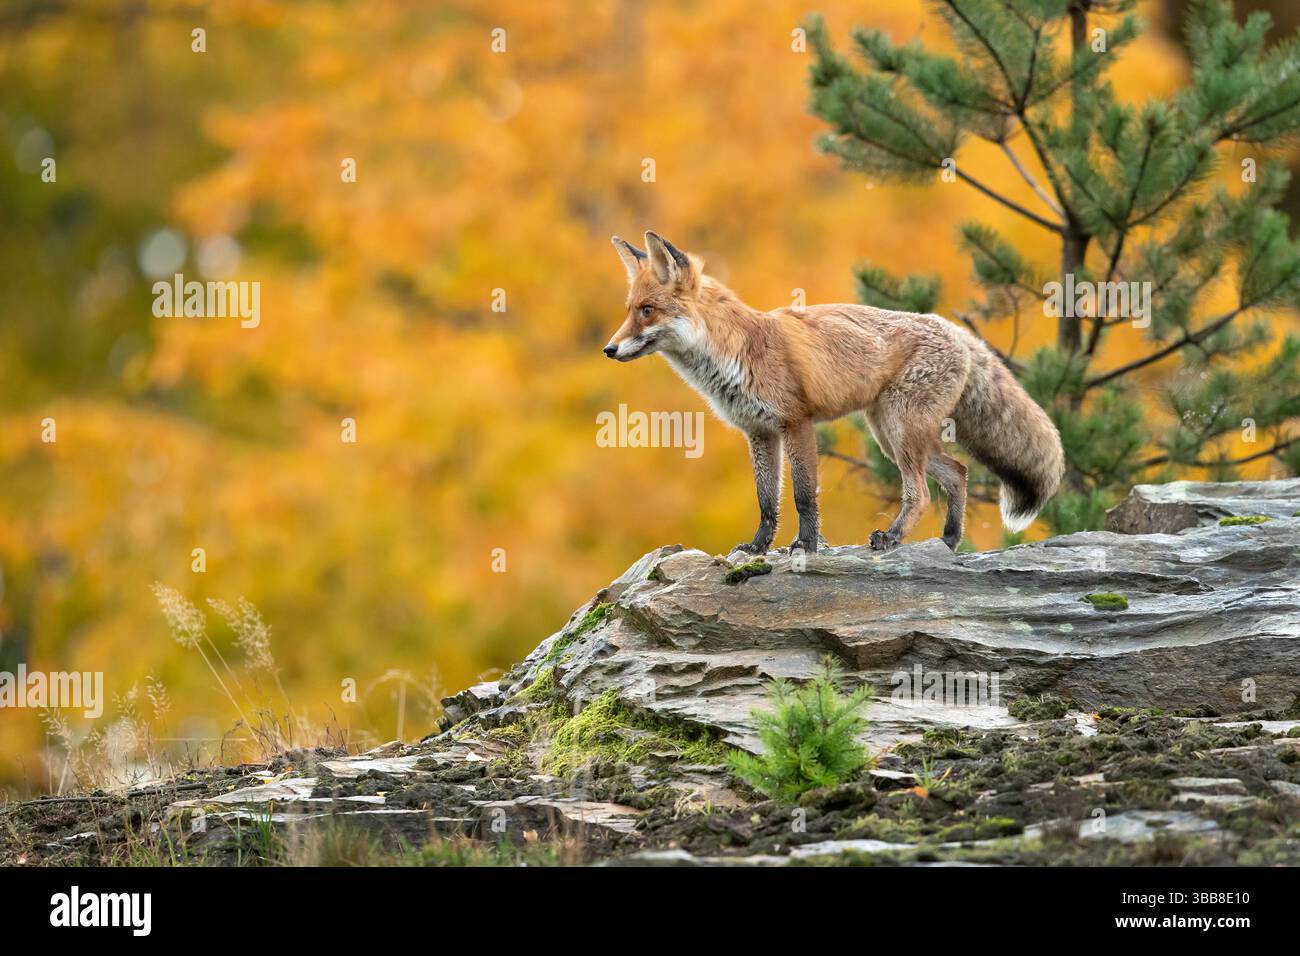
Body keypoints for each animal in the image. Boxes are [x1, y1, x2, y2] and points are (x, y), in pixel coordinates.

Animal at [603, 231, 1065, 555]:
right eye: (629, 310)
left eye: (647, 311)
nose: (608, 349)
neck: (737, 351)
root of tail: (954, 328)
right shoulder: (759, 432)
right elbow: (767, 502)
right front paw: (757, 548)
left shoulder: (797, 423)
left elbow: (804, 497)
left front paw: (806, 547)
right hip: (890, 434)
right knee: (958, 471)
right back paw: (950, 540)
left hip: (899, 431)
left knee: (919, 494)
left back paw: (892, 537)